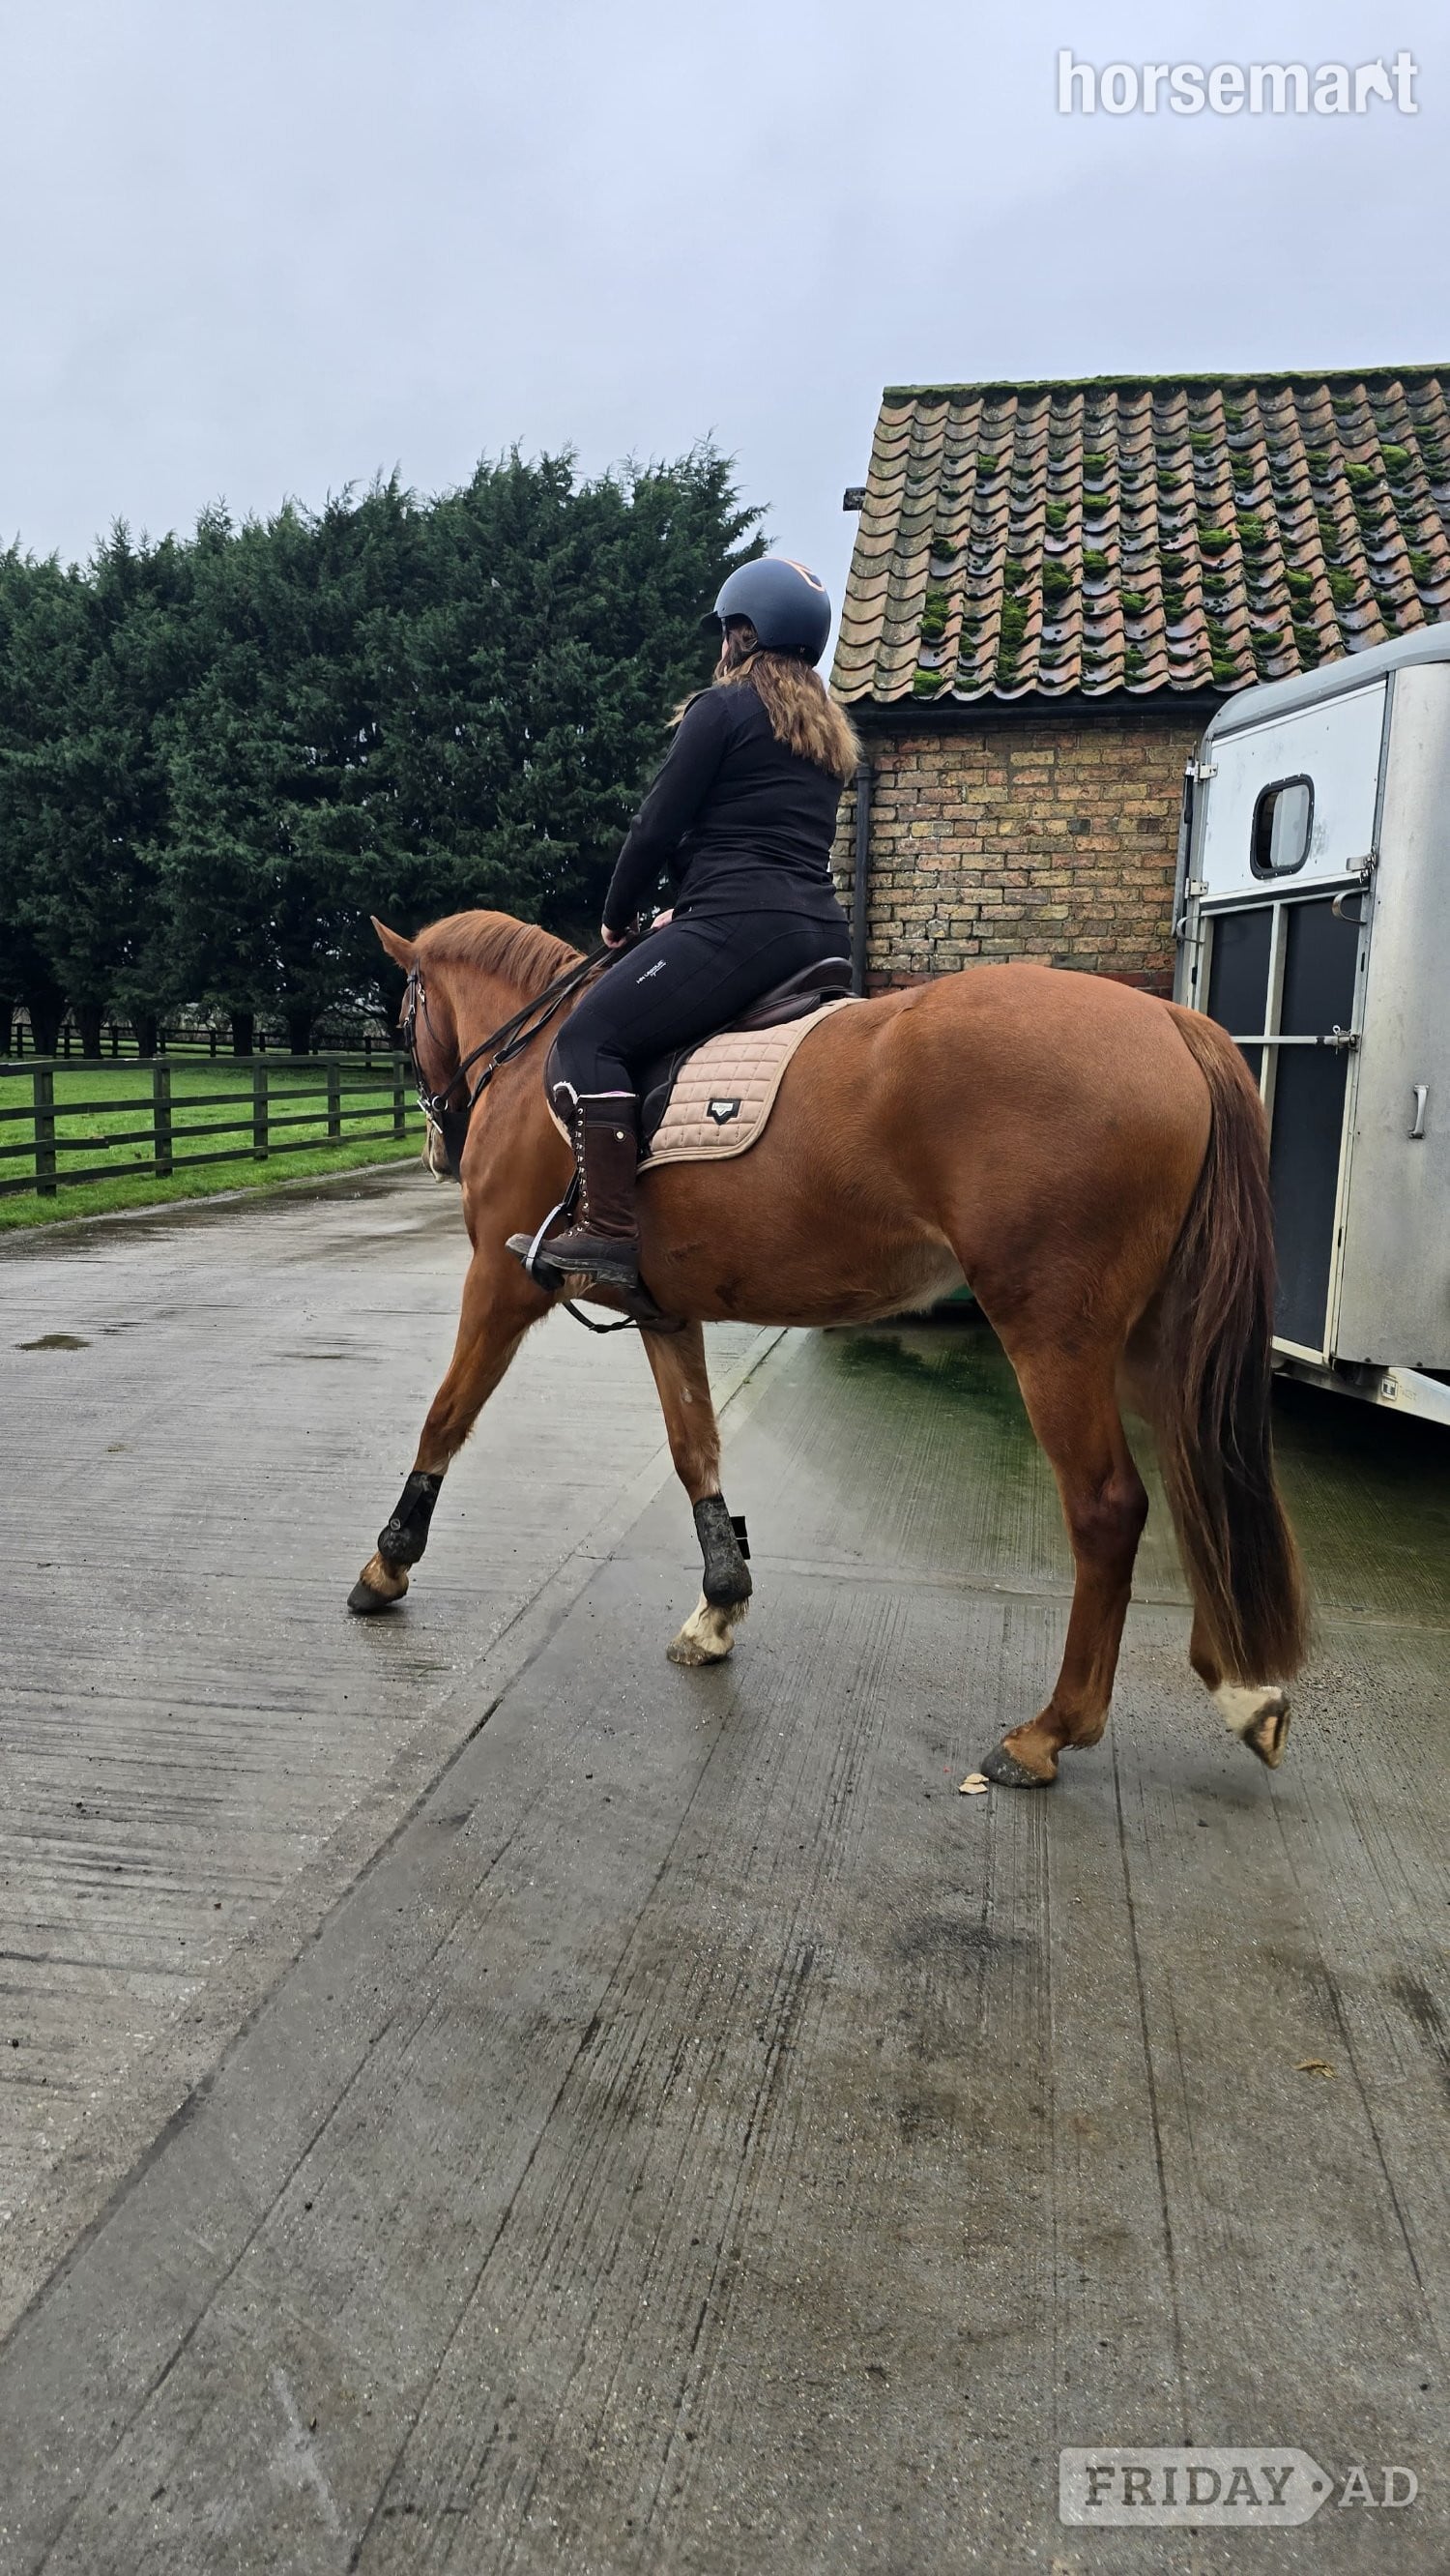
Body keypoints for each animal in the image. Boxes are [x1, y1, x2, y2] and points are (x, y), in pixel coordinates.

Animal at [352, 909, 1307, 1789]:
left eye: (401, 1013)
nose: (436, 1141)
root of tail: (1171, 1027)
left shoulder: (500, 1285)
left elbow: (444, 1418)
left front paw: (388, 1563)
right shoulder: (663, 1314)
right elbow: (694, 1448)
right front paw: (719, 1606)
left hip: (1055, 1337)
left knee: (1110, 1510)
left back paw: (1050, 1731)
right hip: (1158, 1342)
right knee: (1200, 1481)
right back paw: (1244, 1691)